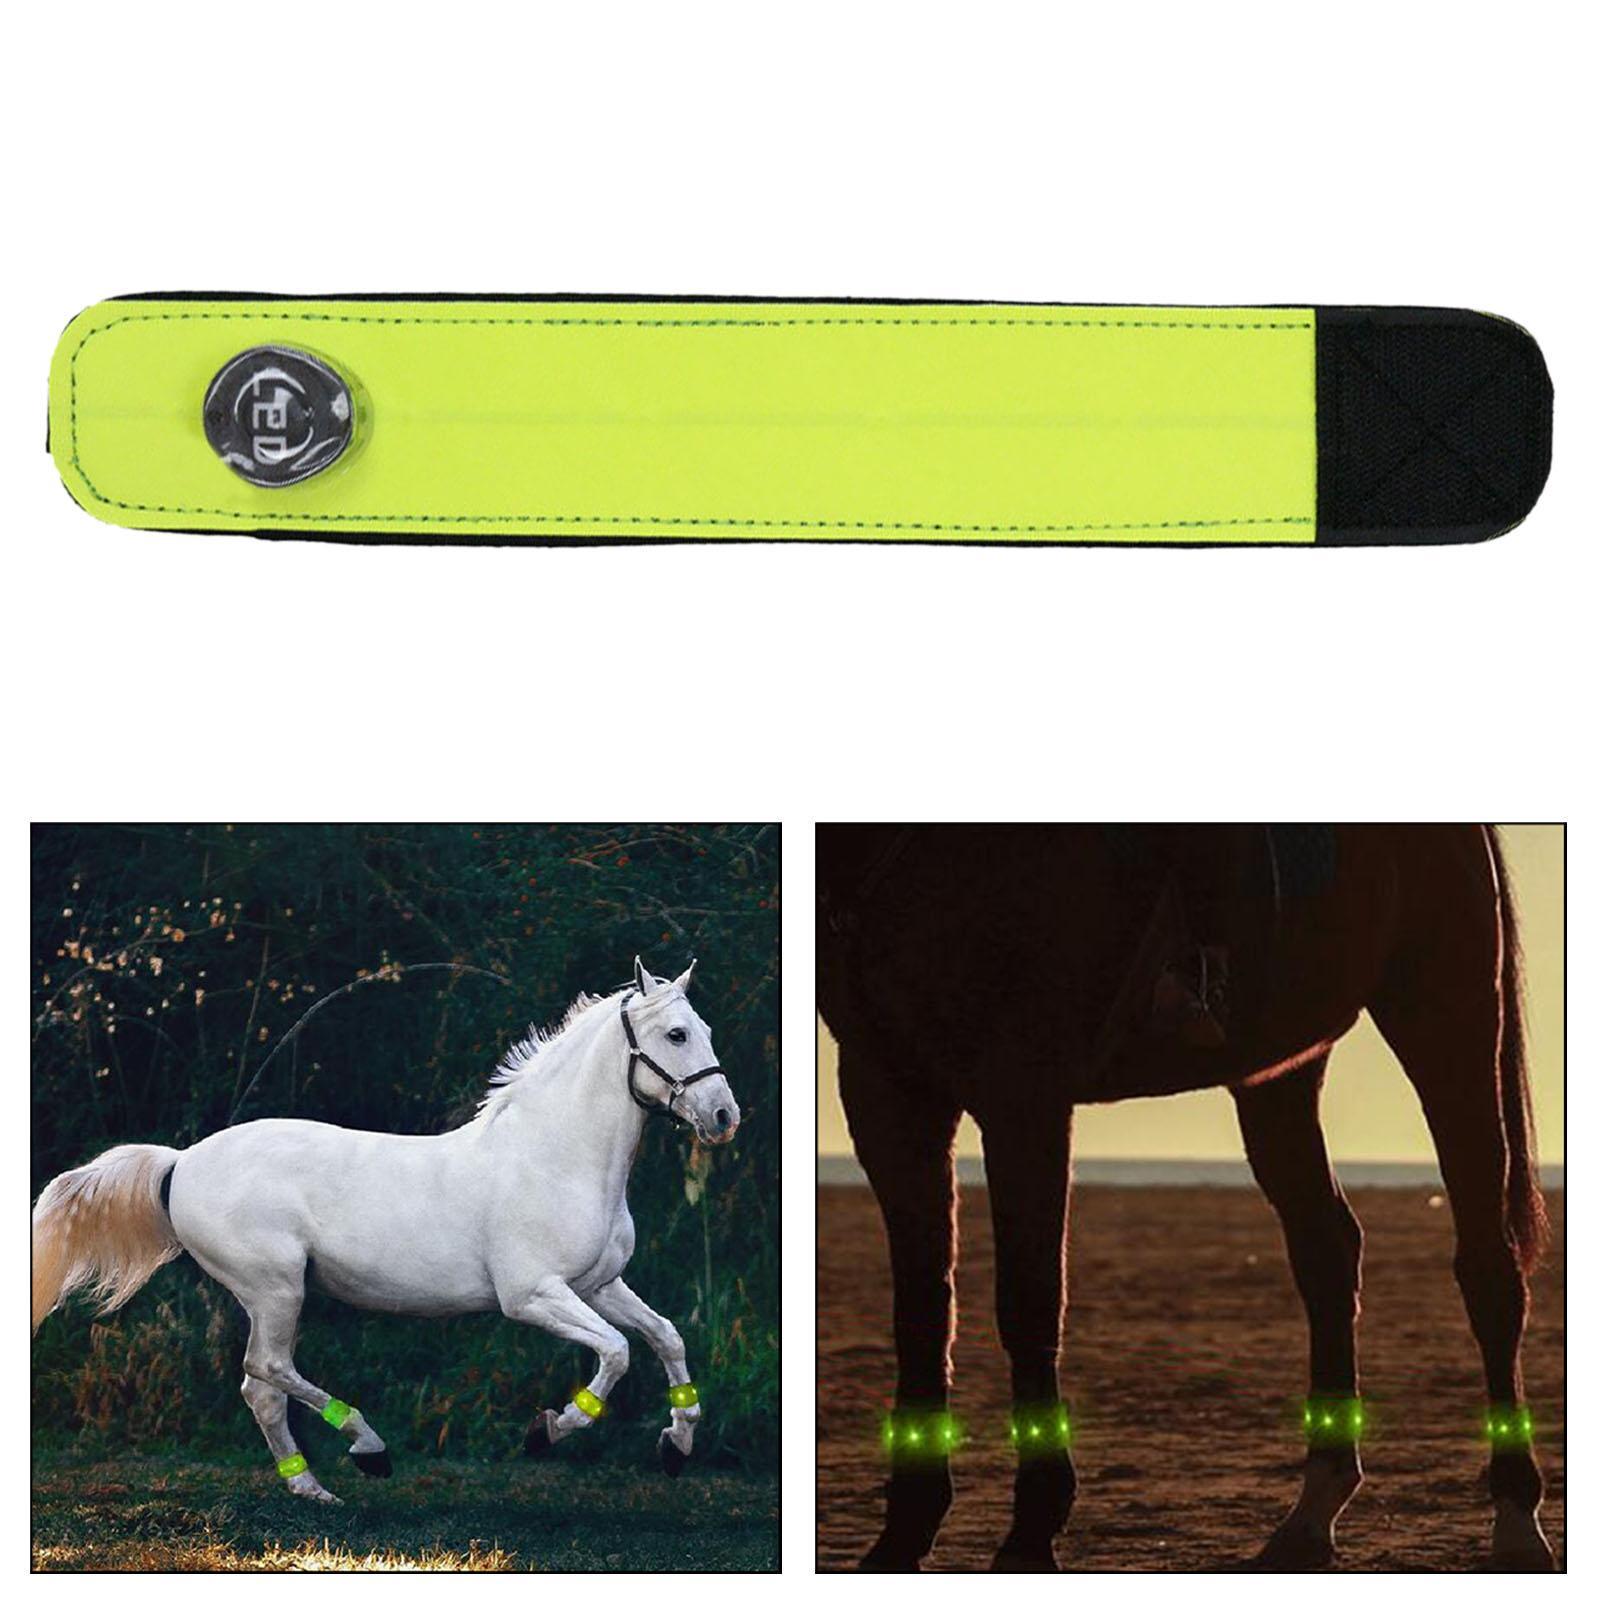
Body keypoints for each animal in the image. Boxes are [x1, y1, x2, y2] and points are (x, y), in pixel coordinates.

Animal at [31, 958, 740, 1503]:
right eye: (677, 1034)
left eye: (705, 1030)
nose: (724, 1117)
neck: (554, 1156)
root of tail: (181, 1162)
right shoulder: (534, 1295)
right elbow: (617, 1353)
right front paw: (549, 1429)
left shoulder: (598, 1286)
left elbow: (665, 1336)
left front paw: (677, 1445)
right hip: (276, 1288)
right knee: (267, 1368)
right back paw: (367, 1448)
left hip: (271, 1296)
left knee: (260, 1389)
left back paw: (312, 1488)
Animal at [817, 824, 1554, 1572]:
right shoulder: (885, 1092)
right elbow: (921, 1311)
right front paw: (902, 1535)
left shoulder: (1024, 1095)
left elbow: (1029, 1304)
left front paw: (1031, 1534)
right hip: (1280, 1070)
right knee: (1328, 1252)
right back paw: (1311, 1514)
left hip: (1445, 1020)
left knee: (1488, 1268)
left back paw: (1517, 1524)